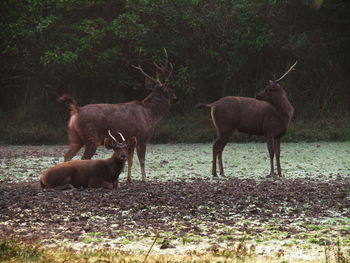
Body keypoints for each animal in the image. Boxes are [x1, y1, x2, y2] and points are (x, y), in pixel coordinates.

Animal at [58, 48, 178, 184]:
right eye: (169, 89)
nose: (176, 98)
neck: (151, 114)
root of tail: (76, 110)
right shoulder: (143, 137)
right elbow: (142, 161)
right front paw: (145, 179)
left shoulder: (131, 140)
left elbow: (130, 161)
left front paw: (129, 180)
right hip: (91, 137)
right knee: (83, 158)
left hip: (75, 138)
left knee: (67, 156)